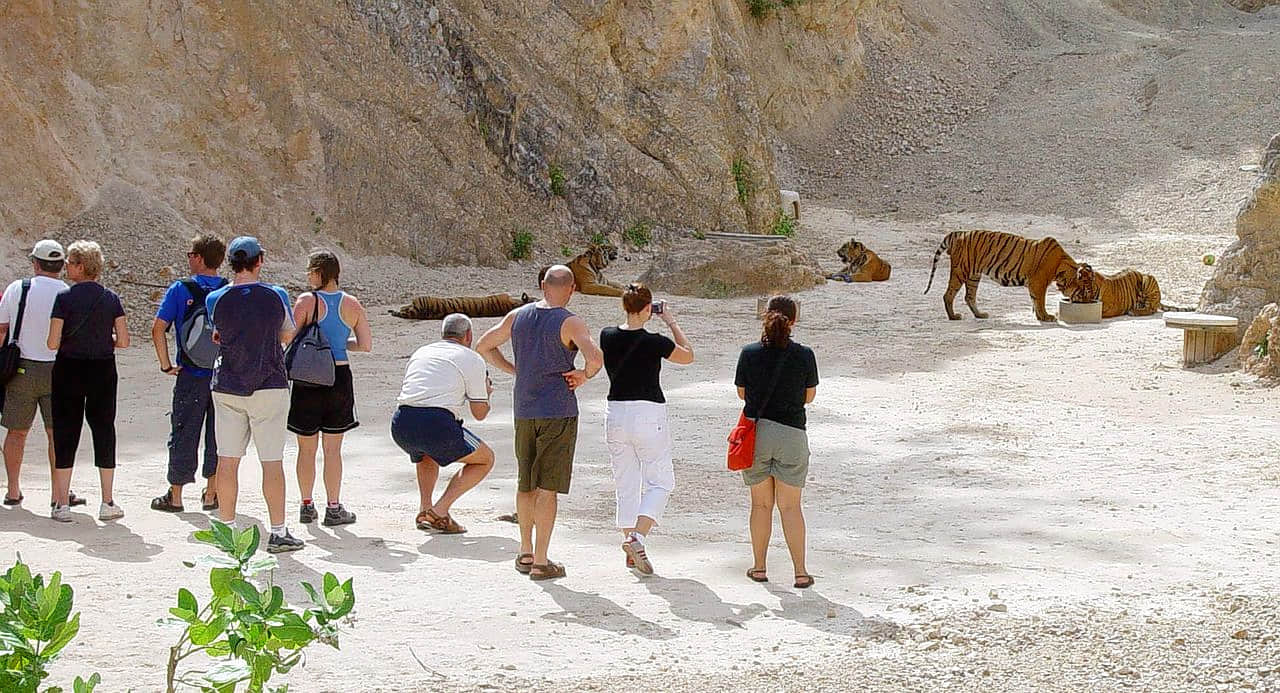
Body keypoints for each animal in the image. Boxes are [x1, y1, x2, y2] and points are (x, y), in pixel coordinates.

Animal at [924, 229, 1077, 322]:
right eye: (1081, 289)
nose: (1082, 299)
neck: (1060, 262)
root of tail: (959, 233)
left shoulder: (1035, 285)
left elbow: (1035, 301)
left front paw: (1040, 317)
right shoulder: (1038, 283)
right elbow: (1040, 301)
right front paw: (1046, 316)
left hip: (974, 275)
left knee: (969, 296)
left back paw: (980, 315)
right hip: (960, 271)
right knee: (948, 295)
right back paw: (953, 317)